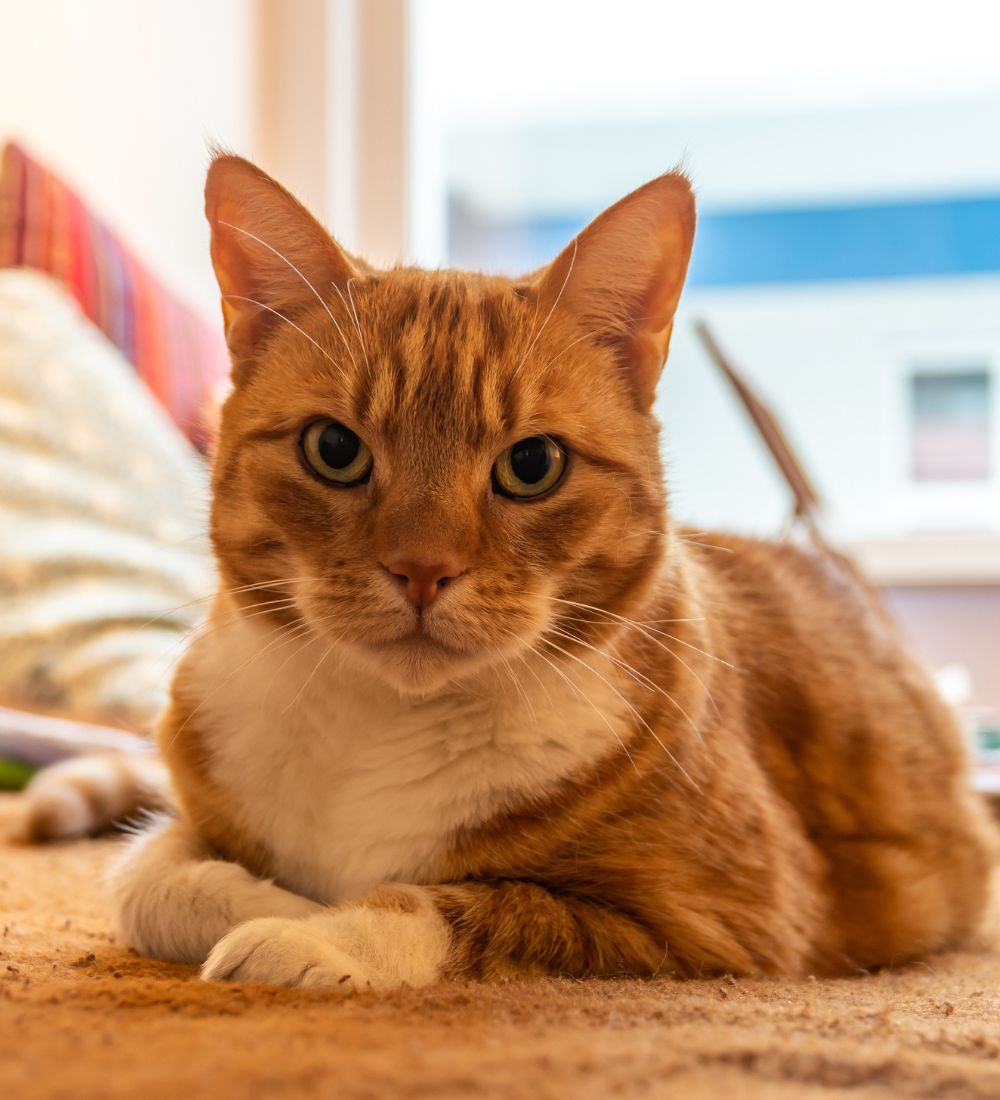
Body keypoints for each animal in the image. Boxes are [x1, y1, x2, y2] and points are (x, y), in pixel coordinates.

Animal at [27, 155, 994, 990]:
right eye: (334, 449)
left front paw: (314, 932)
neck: (381, 729)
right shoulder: (192, 813)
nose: (422, 569)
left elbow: (459, 903)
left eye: (532, 465)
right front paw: (287, 902)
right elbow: (140, 878)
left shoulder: (722, 922)